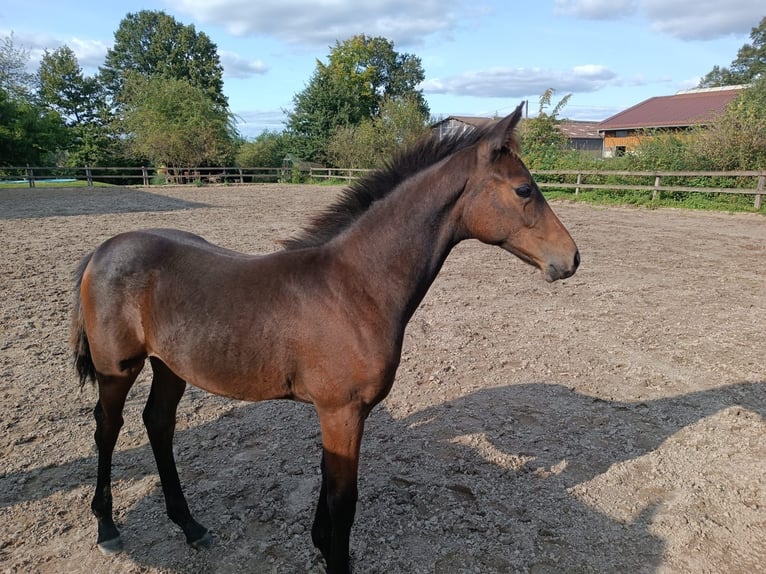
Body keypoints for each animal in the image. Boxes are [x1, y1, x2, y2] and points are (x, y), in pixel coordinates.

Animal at [72, 101, 580, 572]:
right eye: (524, 189)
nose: (571, 258)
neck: (355, 286)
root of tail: (102, 250)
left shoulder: (343, 413)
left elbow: (328, 478)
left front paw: (320, 544)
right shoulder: (342, 410)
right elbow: (344, 498)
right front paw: (336, 558)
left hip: (170, 366)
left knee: (158, 423)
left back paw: (191, 526)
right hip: (117, 369)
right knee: (107, 428)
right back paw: (107, 527)